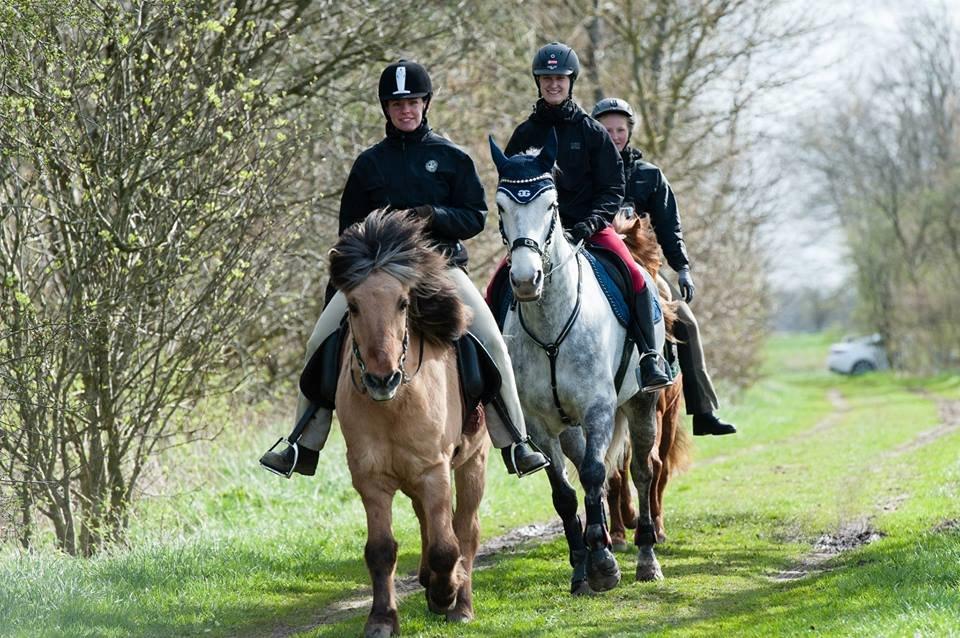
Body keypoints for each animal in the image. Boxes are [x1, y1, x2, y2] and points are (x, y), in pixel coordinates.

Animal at [330, 212, 492, 636]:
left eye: (404, 303)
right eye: (353, 305)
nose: (381, 379)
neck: (395, 404)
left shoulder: (435, 471)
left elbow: (447, 546)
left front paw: (445, 594)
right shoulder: (370, 478)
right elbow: (380, 550)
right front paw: (382, 619)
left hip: (472, 463)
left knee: (465, 530)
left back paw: (460, 603)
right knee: (428, 522)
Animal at [492, 132, 664, 596]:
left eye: (551, 205)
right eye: (500, 206)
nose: (525, 279)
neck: (551, 324)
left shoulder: (598, 409)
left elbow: (592, 474)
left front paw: (604, 563)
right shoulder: (539, 424)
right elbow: (566, 493)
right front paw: (582, 568)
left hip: (641, 405)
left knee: (641, 471)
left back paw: (646, 557)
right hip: (570, 426)